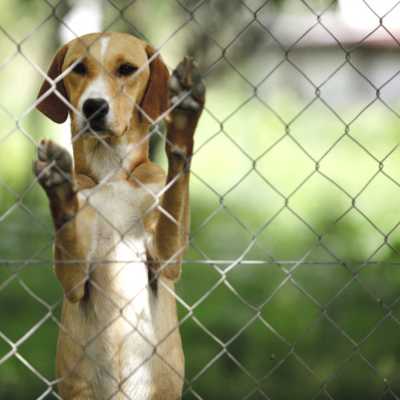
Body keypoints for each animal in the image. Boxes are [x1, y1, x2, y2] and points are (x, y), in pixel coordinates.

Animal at [32, 32, 205, 400]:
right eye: (77, 68)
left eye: (127, 69)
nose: (93, 107)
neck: (110, 170)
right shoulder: (74, 280)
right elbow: (68, 232)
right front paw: (59, 187)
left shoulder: (166, 258)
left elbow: (176, 184)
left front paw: (183, 124)